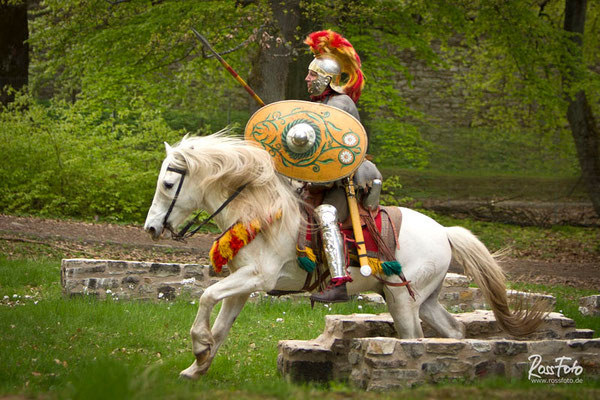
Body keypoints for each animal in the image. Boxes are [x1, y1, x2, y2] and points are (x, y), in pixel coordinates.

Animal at [144, 133, 548, 380]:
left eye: (168, 183)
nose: (150, 228)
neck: (259, 209)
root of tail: (444, 232)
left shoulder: (256, 277)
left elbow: (205, 296)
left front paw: (198, 346)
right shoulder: (242, 286)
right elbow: (221, 325)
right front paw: (198, 366)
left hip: (402, 299)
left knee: (414, 340)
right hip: (426, 299)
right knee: (453, 332)